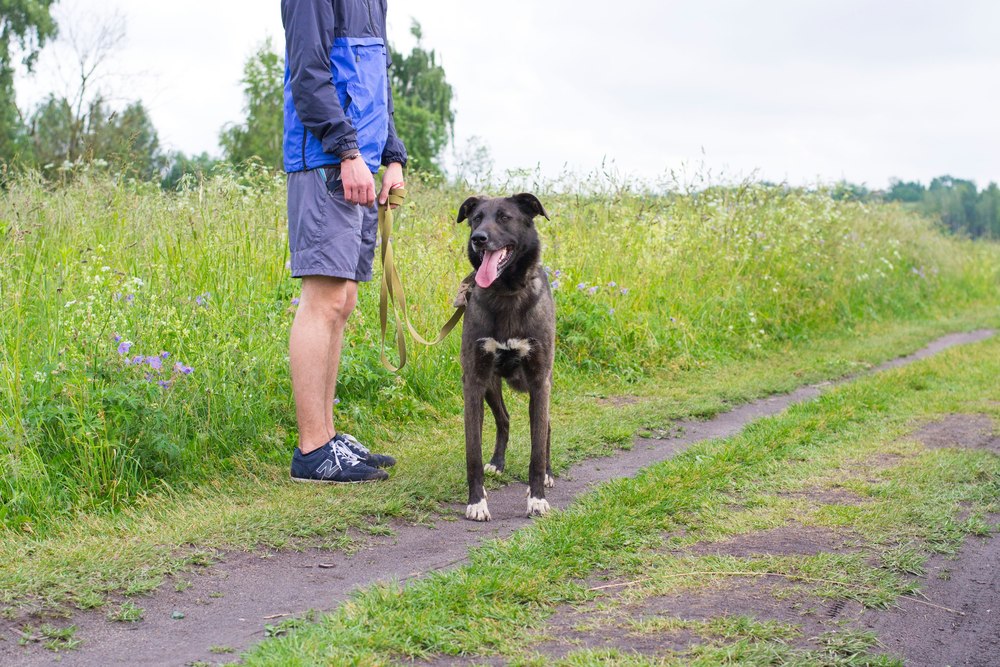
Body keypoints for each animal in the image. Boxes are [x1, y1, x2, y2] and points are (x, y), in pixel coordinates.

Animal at [458, 193, 560, 520]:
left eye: (504, 217)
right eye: (476, 218)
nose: (478, 238)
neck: (505, 292)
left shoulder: (540, 381)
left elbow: (537, 449)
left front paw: (537, 498)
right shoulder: (474, 381)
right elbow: (473, 453)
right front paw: (477, 502)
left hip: (540, 386)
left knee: (546, 428)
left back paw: (547, 475)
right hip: (492, 385)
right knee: (504, 419)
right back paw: (497, 462)